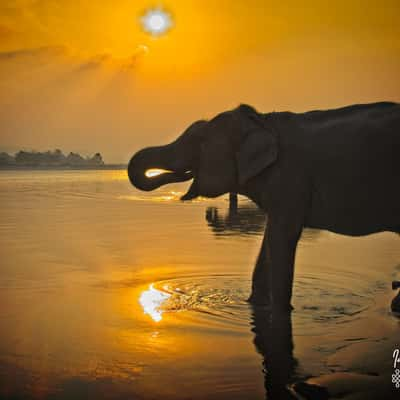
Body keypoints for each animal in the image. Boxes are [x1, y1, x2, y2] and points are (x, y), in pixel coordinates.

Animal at [129, 102, 400, 312]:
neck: (263, 122)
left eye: (200, 143)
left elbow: (282, 237)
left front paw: (279, 310)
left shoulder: (290, 178)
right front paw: (252, 304)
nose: (185, 174)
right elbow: (268, 240)